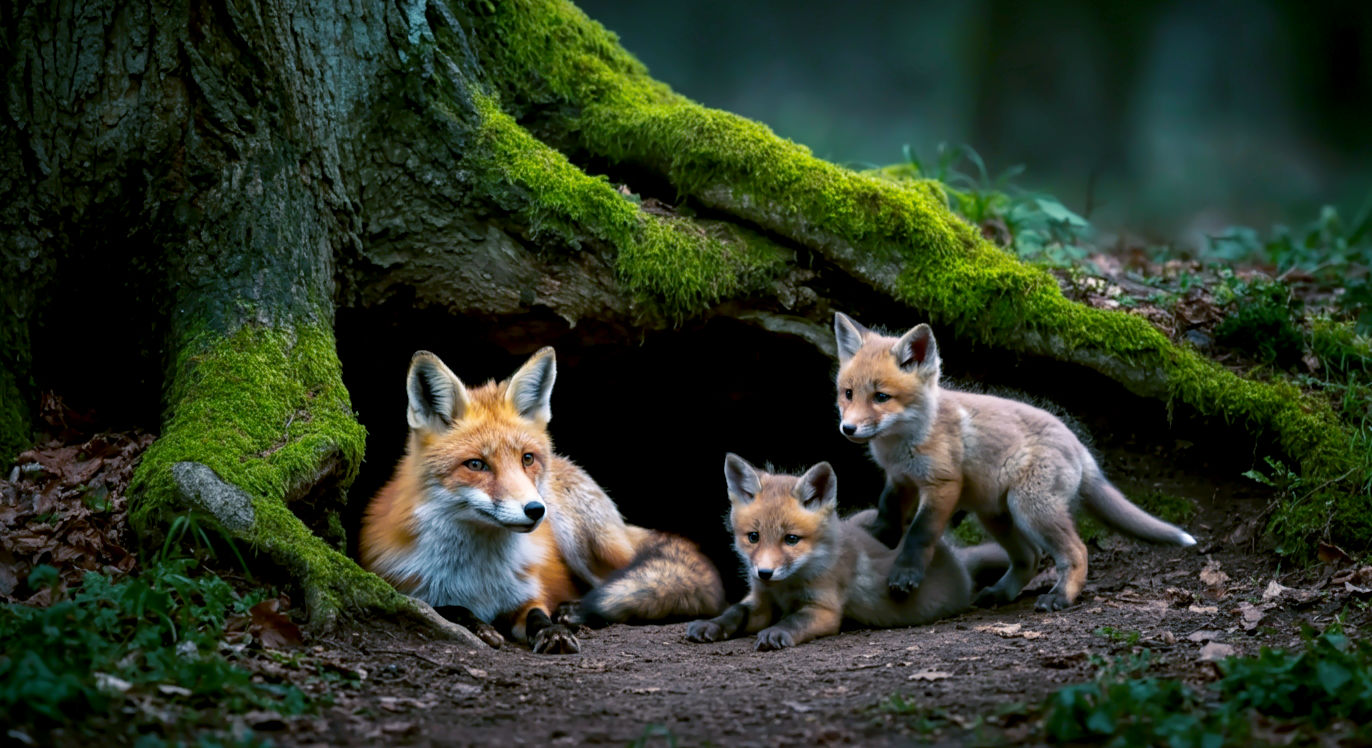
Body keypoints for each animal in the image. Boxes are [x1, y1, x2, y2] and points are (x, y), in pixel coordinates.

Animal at [360, 347, 725, 654]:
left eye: (527, 459)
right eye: (476, 465)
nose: (535, 510)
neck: (480, 576)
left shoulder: (529, 595)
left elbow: (539, 614)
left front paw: (553, 632)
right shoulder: (399, 588)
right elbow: (448, 608)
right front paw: (478, 625)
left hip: (582, 541)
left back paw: (575, 612)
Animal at [685, 455, 1009, 650]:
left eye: (791, 539)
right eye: (753, 537)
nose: (764, 573)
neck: (785, 588)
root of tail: (955, 557)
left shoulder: (824, 609)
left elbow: (794, 621)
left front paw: (778, 632)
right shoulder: (761, 600)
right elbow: (734, 612)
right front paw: (711, 625)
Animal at [832, 312, 1197, 612]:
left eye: (881, 397)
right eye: (848, 393)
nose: (847, 429)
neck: (905, 442)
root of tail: (1078, 443)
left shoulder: (942, 485)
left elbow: (920, 534)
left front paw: (905, 574)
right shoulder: (900, 480)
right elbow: (887, 514)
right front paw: (871, 538)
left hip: (1030, 508)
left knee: (1076, 552)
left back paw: (1061, 596)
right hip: (996, 515)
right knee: (1030, 558)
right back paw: (1001, 593)